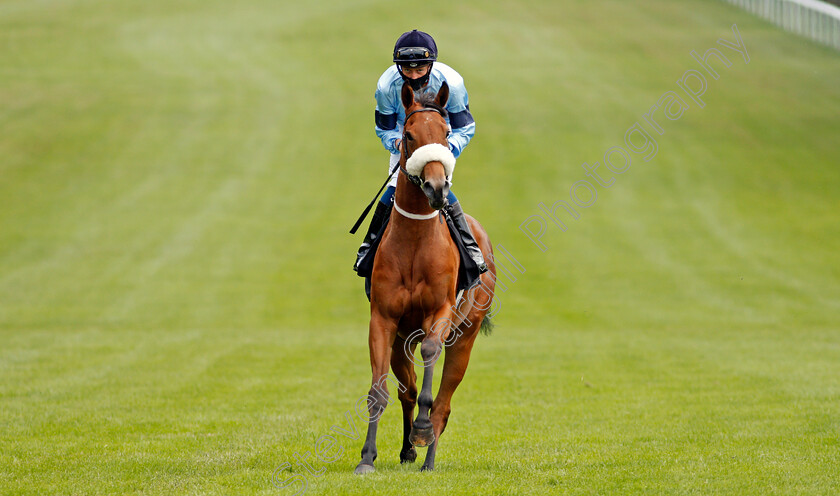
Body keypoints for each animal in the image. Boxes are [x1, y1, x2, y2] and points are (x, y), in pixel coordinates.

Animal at [356, 80, 498, 472]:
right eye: (408, 135)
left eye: (446, 133)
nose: (436, 188)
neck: (415, 242)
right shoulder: (384, 319)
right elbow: (379, 391)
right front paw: (367, 458)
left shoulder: (440, 312)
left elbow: (431, 368)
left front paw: (420, 431)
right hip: (403, 340)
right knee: (408, 388)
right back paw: (408, 451)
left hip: (465, 336)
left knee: (443, 403)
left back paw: (427, 456)